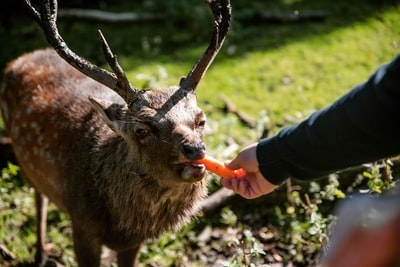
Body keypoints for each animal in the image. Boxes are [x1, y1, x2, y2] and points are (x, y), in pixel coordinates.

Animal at [0, 0, 231, 266]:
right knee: (38, 195)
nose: (194, 148)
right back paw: (41, 253)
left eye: (200, 119)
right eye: (142, 130)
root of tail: (17, 60)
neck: (121, 225)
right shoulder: (81, 222)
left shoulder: (133, 242)